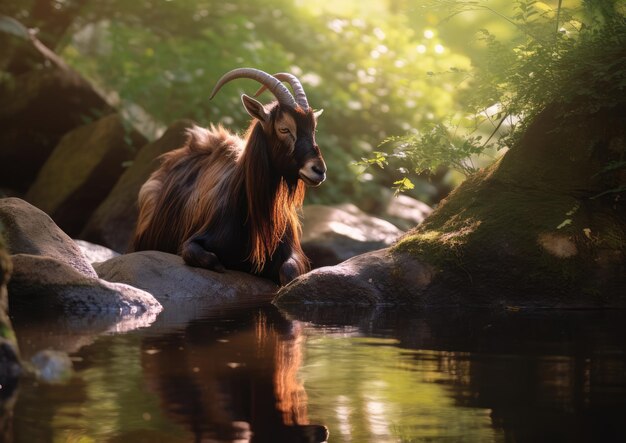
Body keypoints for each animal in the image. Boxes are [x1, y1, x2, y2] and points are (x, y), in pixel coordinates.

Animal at [132, 68, 326, 286]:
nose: (319, 170)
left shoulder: (293, 253)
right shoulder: (196, 239)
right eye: (284, 128)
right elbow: (201, 255)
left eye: (313, 129)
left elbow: (290, 272)